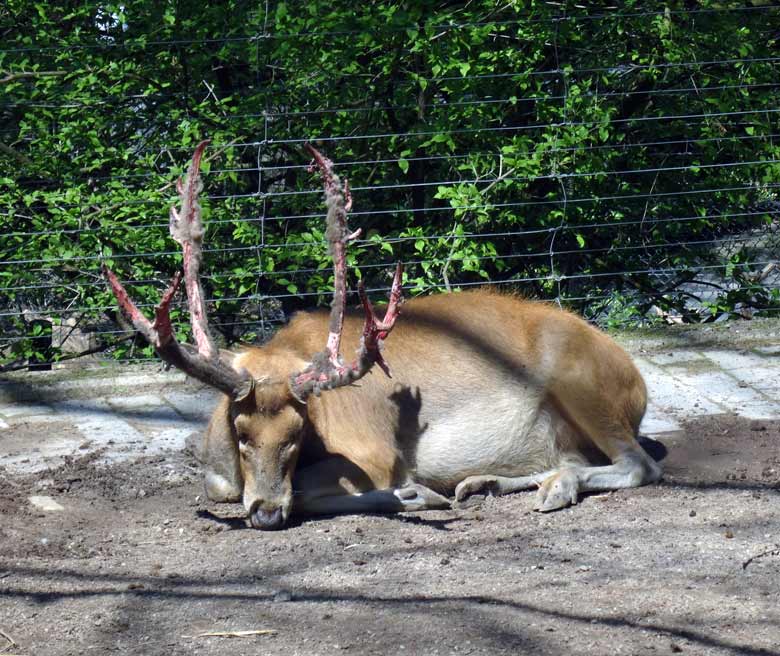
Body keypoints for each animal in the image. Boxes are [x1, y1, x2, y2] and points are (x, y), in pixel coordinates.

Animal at [106, 141, 660, 532]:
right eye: (241, 433)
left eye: (297, 434)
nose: (265, 512)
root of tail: (636, 380)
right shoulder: (221, 466)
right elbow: (216, 486)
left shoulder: (373, 450)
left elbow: (309, 491)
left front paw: (415, 493)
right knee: (576, 458)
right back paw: (487, 483)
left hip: (578, 378)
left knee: (639, 465)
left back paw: (547, 489)